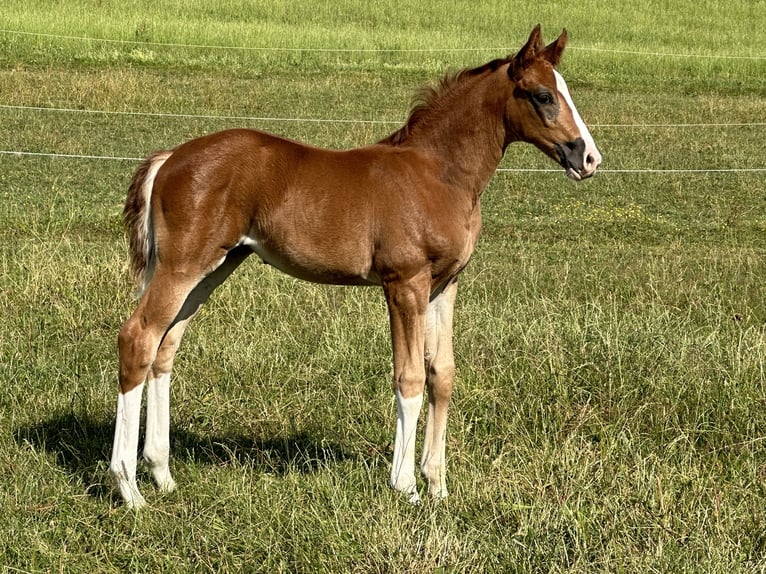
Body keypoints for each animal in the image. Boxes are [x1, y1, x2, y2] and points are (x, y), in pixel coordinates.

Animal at [110, 25, 601, 508]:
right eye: (543, 95)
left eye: (565, 90)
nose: (589, 158)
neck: (437, 174)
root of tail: (170, 159)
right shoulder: (405, 284)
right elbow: (409, 378)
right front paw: (406, 487)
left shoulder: (444, 286)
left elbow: (442, 375)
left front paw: (438, 486)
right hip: (183, 266)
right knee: (138, 338)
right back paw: (130, 488)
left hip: (214, 268)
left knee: (165, 348)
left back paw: (162, 475)